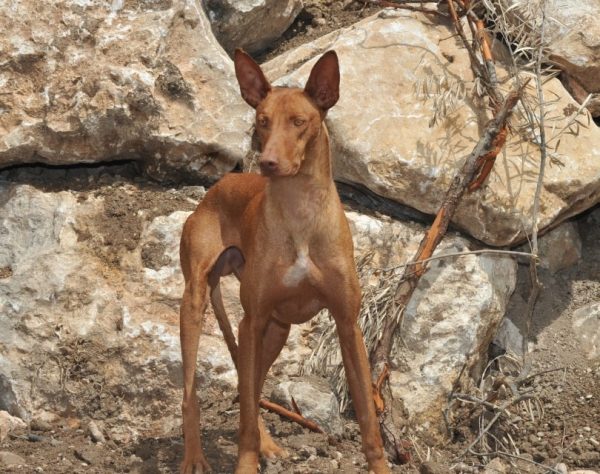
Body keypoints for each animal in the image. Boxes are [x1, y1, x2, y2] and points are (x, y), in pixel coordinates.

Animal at [179, 50, 390, 472]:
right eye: (262, 120)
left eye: (299, 121)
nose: (268, 163)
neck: (300, 212)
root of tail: (220, 186)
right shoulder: (252, 319)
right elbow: (243, 414)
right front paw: (246, 463)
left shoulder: (348, 325)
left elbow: (368, 419)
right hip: (197, 304)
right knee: (194, 394)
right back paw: (194, 457)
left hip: (276, 330)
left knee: (250, 387)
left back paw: (268, 444)